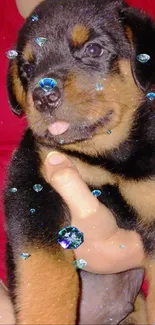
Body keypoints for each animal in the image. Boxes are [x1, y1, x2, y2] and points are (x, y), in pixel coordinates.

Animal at [3, 0, 155, 322]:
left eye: (93, 49)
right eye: (27, 68)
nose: (43, 95)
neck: (105, 157)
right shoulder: (31, 183)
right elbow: (47, 275)